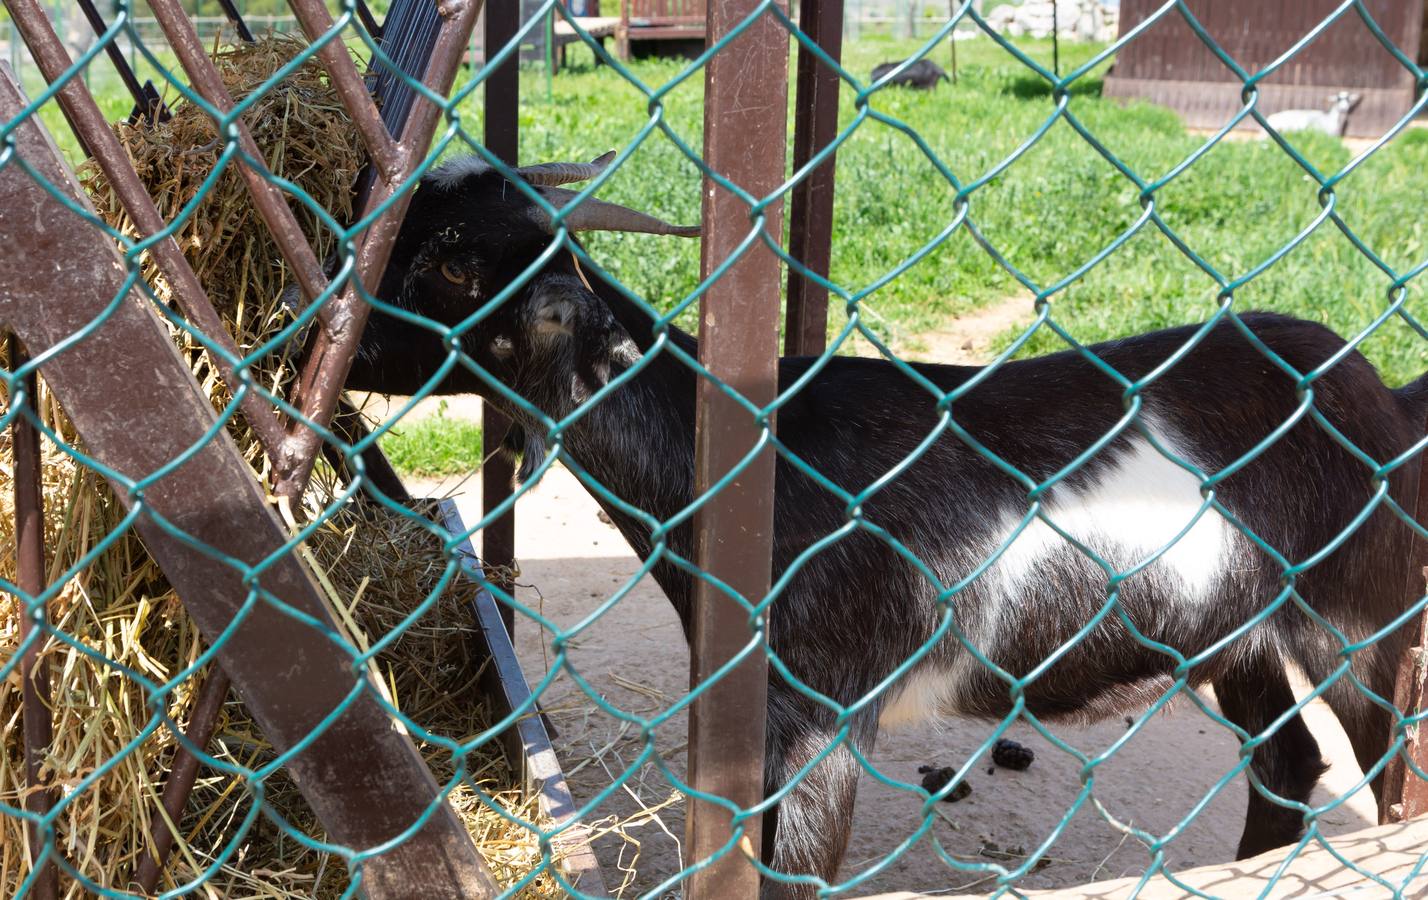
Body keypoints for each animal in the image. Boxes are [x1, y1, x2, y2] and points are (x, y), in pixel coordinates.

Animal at [345, 153, 1428, 897]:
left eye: (453, 264)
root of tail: (1383, 396)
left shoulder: (819, 718)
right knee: (1287, 765)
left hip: (1362, 623)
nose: (324, 310)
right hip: (1235, 634)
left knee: (1390, 781)